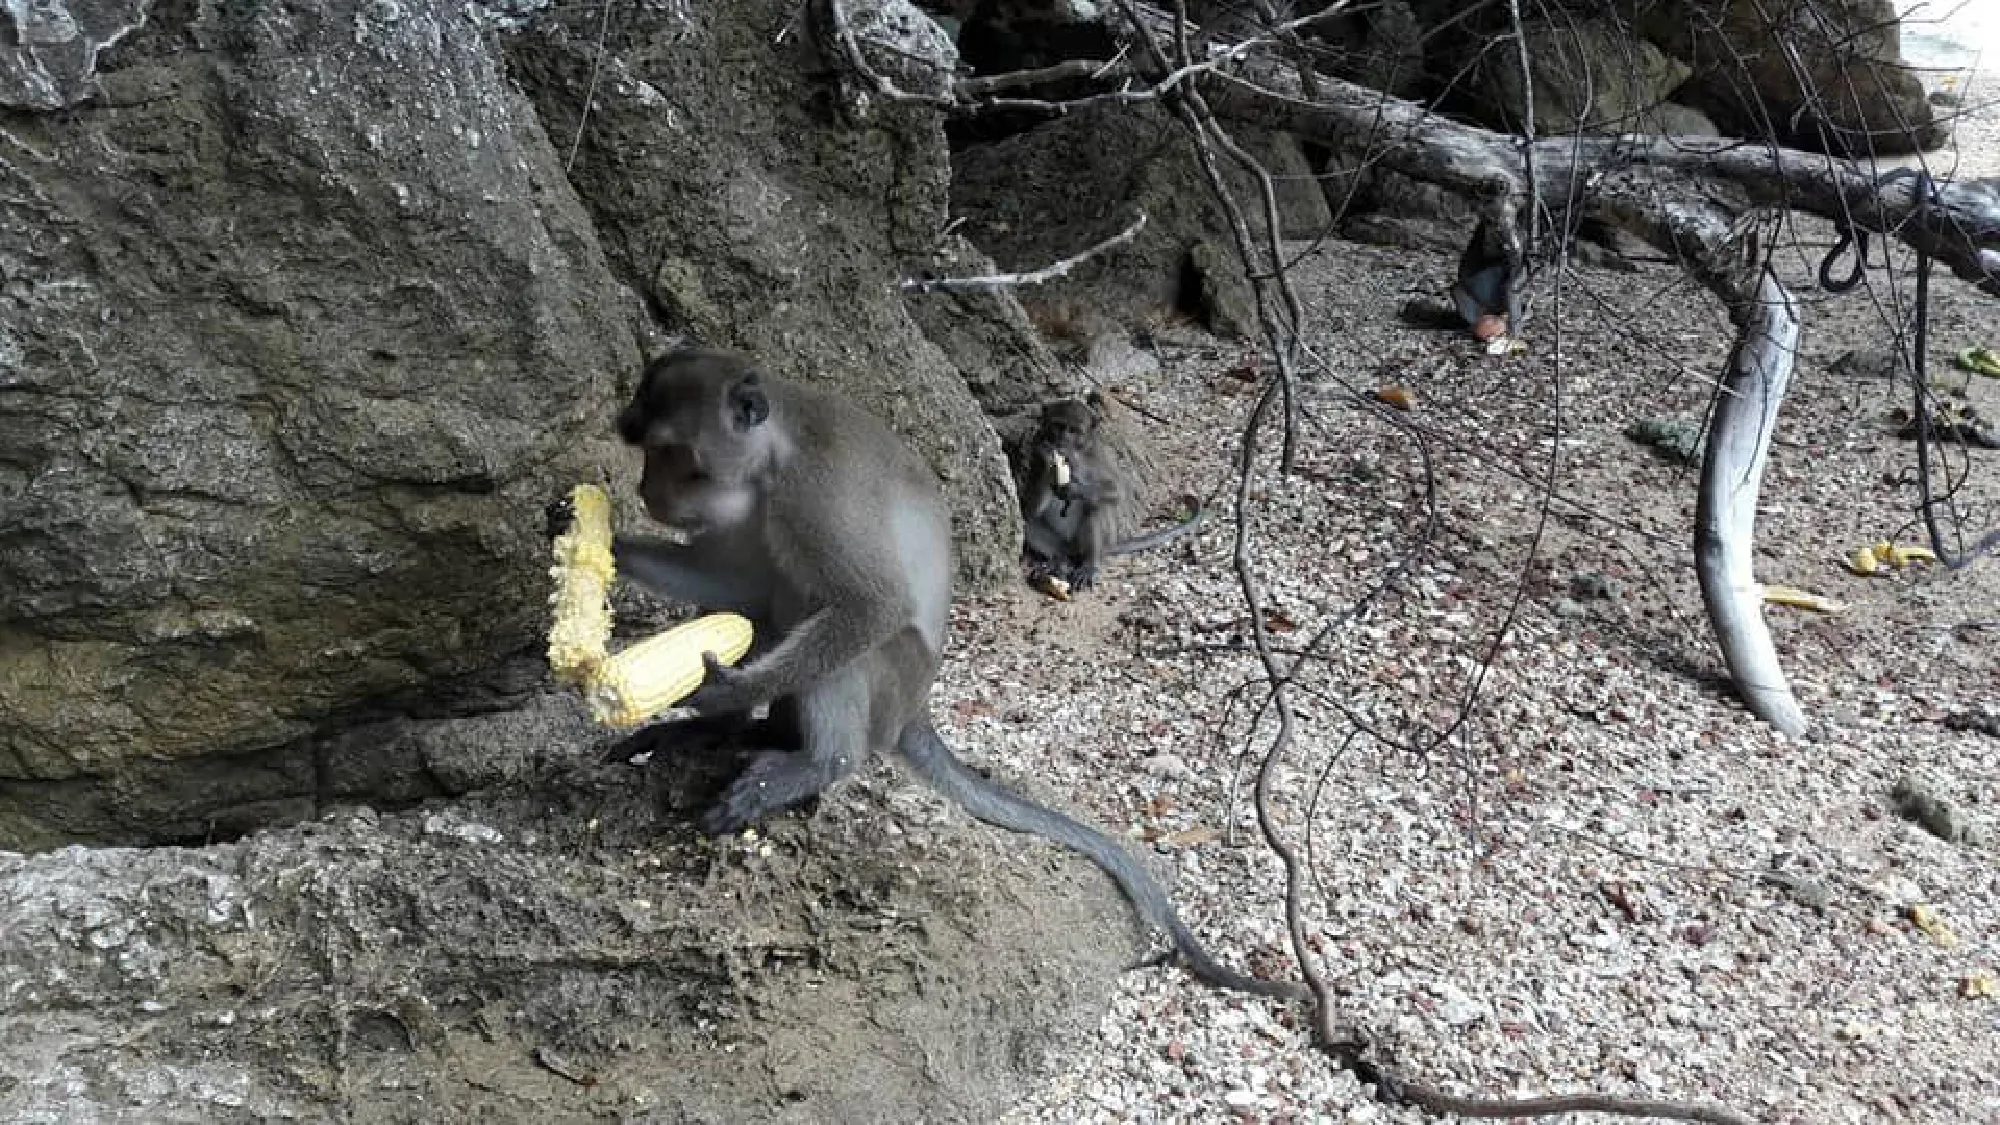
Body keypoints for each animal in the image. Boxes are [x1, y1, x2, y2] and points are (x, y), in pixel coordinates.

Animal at [1016, 395, 1206, 592]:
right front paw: (1051, 464)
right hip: (1061, 543)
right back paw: (1060, 562)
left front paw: (1073, 485)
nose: (1062, 440)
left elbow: (1117, 490)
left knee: (1097, 508)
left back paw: (1090, 563)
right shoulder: (1035, 453)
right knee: (1030, 523)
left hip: (1099, 539)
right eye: (1058, 426)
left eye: (1074, 430)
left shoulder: (1097, 456)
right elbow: (1031, 506)